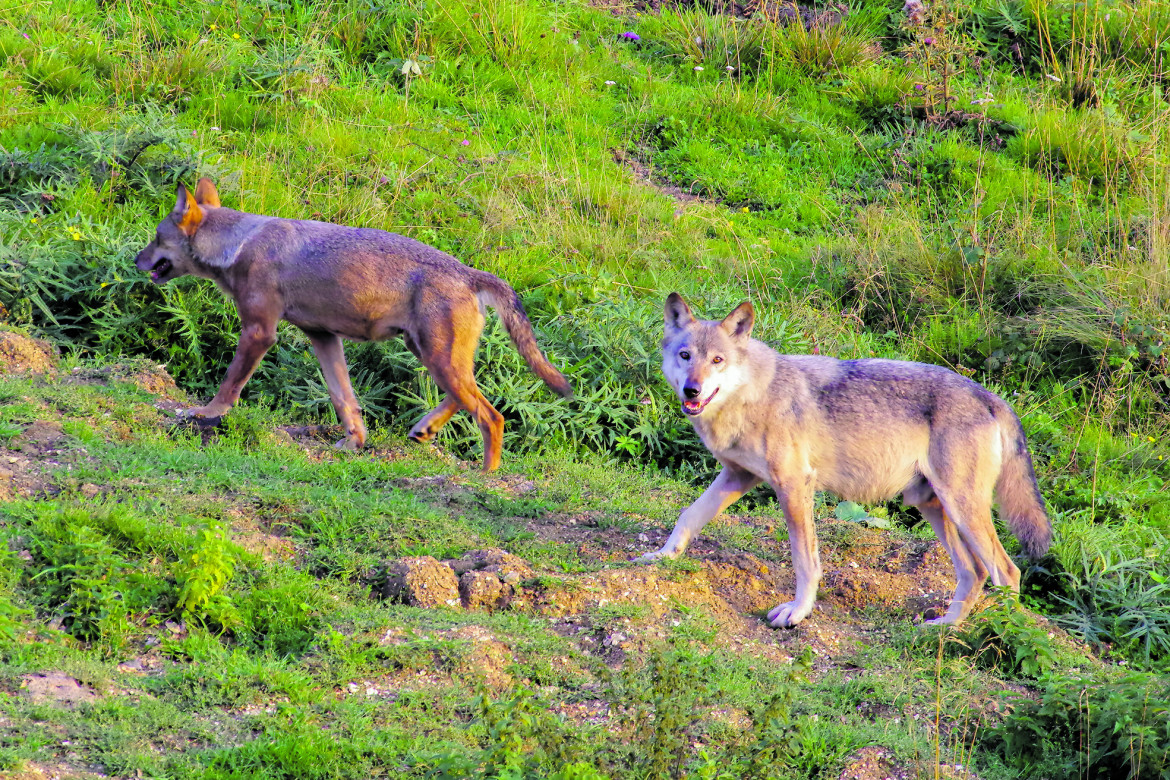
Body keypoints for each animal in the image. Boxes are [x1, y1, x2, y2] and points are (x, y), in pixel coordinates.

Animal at [132, 178, 570, 470]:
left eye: (155, 237)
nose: (135, 261)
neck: (239, 244)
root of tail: (469, 271)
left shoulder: (259, 332)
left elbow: (230, 384)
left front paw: (205, 413)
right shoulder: (323, 338)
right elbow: (344, 399)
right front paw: (354, 443)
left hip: (437, 359)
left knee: (490, 415)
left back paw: (486, 476)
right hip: (429, 355)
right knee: (467, 398)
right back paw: (424, 430)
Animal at [641, 292, 1053, 626]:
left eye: (717, 360)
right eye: (685, 356)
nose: (692, 390)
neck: (753, 395)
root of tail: (992, 397)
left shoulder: (795, 485)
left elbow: (805, 560)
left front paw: (797, 613)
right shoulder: (738, 477)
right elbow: (688, 516)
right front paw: (660, 557)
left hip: (961, 507)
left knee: (1007, 572)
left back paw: (999, 636)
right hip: (932, 504)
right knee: (974, 572)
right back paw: (943, 628)